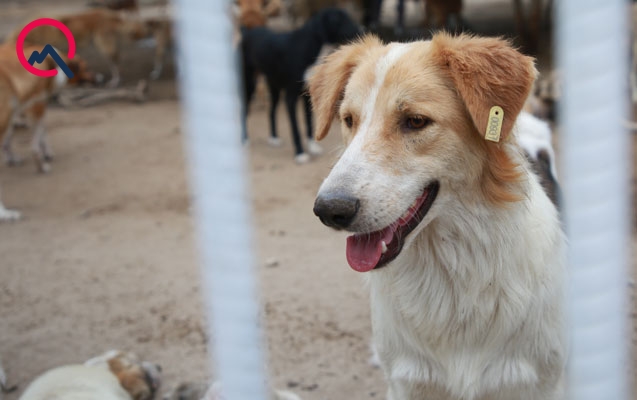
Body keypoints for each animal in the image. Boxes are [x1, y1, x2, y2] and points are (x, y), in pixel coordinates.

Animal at [240, 7, 360, 162]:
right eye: (339, 20)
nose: (362, 28)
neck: (309, 44)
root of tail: (247, 31)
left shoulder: (307, 96)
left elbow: (309, 123)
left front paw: (312, 146)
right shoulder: (290, 98)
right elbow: (295, 128)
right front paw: (300, 152)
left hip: (274, 86)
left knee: (271, 111)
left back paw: (273, 138)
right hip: (250, 83)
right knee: (245, 108)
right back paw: (245, 139)